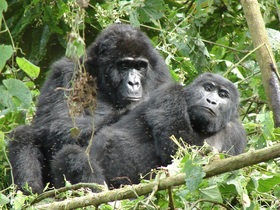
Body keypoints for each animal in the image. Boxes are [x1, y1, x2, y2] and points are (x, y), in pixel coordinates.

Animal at [7, 23, 172, 194]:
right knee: (24, 134)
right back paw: (32, 192)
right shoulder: (66, 72)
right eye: (124, 65)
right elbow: (53, 125)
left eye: (140, 66)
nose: (134, 83)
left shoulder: (160, 73)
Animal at [52, 72, 247, 189]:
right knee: (72, 155)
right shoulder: (169, 92)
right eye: (208, 88)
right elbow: (177, 148)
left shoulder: (237, 132)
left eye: (223, 95)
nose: (211, 101)